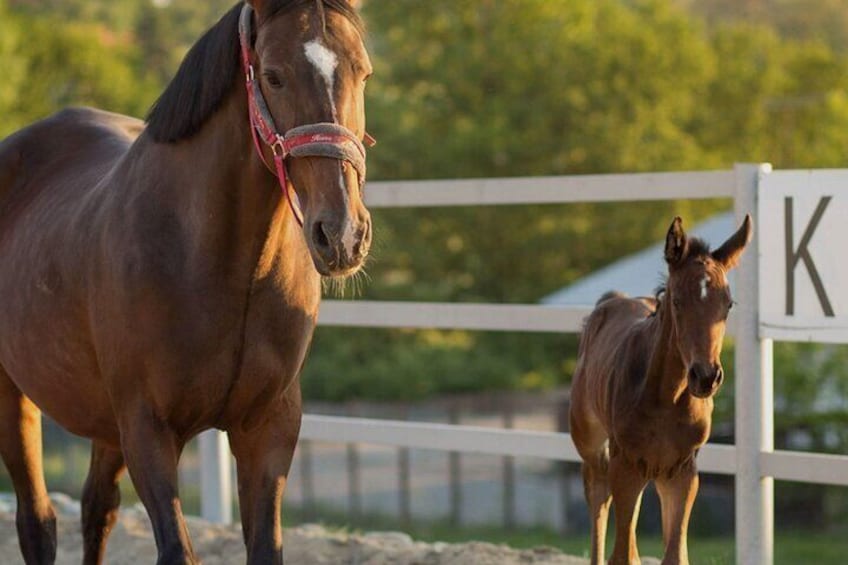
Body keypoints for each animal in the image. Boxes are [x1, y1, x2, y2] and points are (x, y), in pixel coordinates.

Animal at [0, 1, 374, 564]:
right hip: (13, 394)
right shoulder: (148, 430)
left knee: (96, 510)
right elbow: (177, 549)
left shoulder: (269, 427)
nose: (343, 233)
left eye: (363, 72)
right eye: (273, 75)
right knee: (37, 522)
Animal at [568, 214, 752, 560]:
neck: (667, 398)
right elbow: (622, 555)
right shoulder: (625, 464)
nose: (706, 376)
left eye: (729, 304)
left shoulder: (682, 471)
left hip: (653, 472)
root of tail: (611, 300)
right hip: (595, 448)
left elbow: (675, 554)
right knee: (599, 499)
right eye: (677, 301)